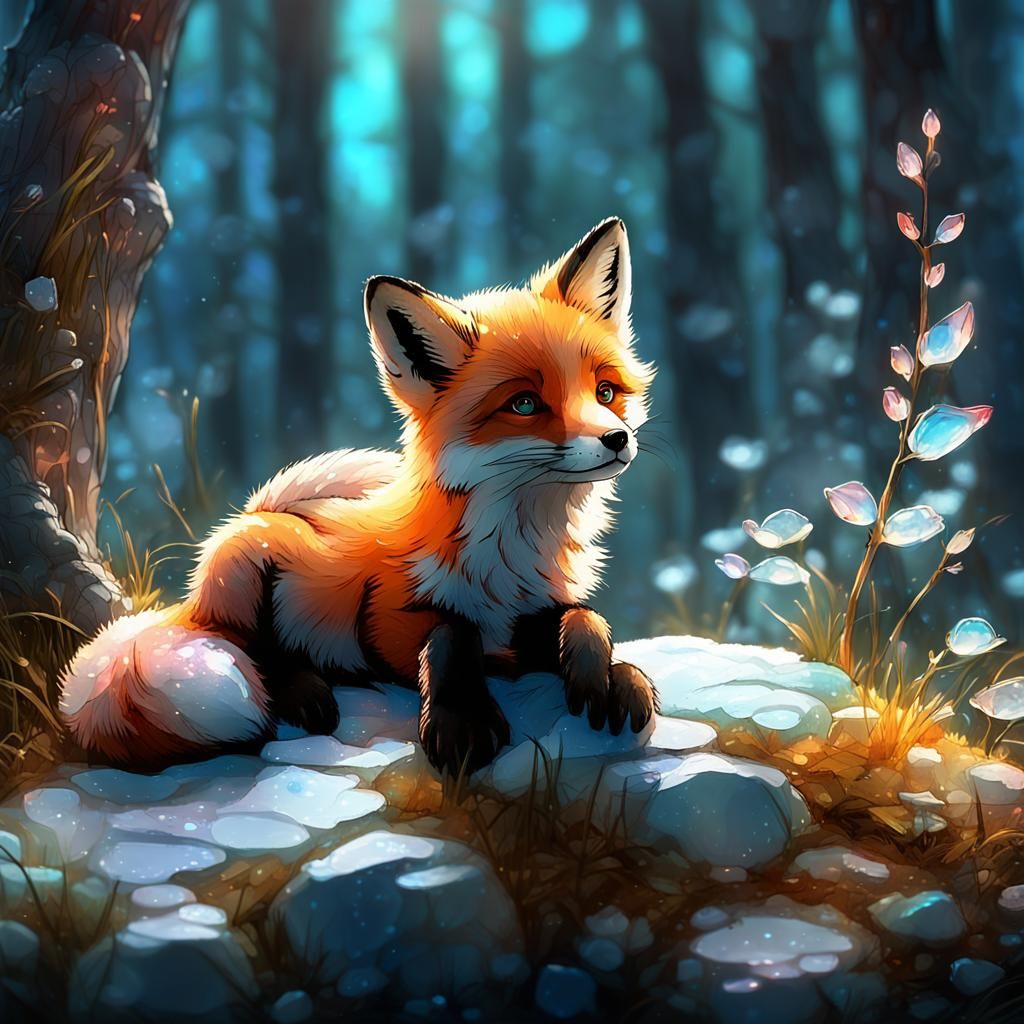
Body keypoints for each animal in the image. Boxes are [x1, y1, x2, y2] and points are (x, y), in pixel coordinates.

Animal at [59, 217, 659, 775]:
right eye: (526, 404)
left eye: (605, 391)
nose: (616, 439)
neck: (512, 551)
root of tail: (261, 507)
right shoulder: (386, 622)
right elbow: (453, 632)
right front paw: (461, 724)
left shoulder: (535, 608)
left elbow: (583, 618)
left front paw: (613, 677)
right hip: (250, 563)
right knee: (255, 650)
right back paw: (303, 692)